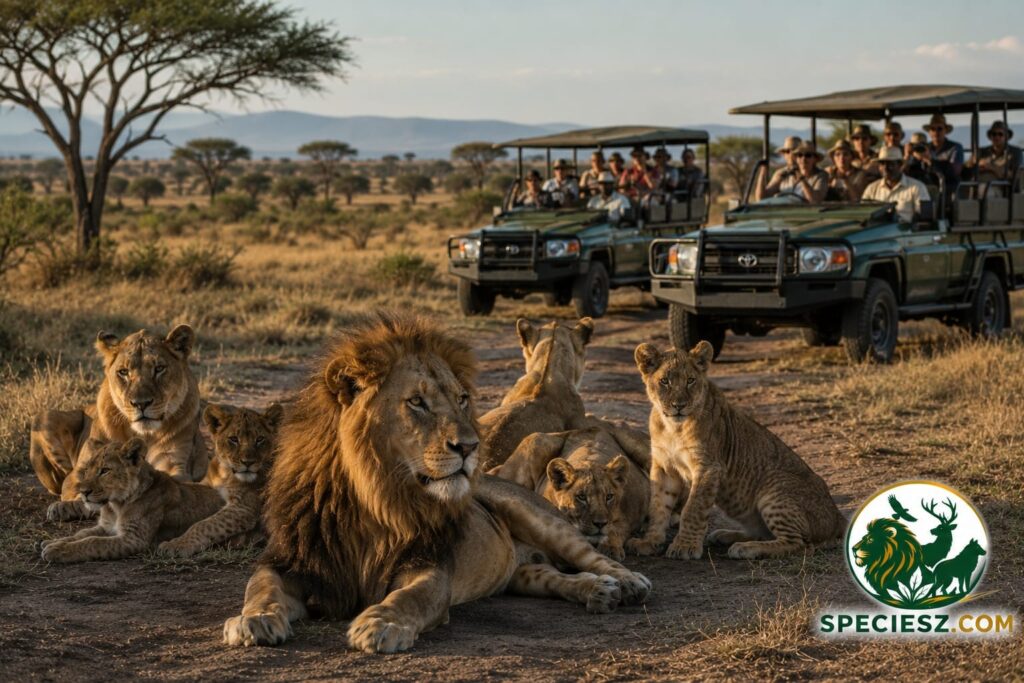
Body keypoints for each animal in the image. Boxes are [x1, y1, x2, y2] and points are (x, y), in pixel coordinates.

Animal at [32, 325, 209, 522]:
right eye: (124, 372)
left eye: (159, 368)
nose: (141, 403)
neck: (143, 434)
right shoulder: (78, 473)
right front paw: (66, 506)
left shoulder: (175, 465)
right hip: (45, 416)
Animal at [39, 437, 225, 563]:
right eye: (87, 470)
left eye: (105, 470)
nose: (83, 492)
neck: (115, 505)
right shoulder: (106, 527)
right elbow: (81, 534)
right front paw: (53, 542)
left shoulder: (134, 539)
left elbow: (92, 542)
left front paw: (57, 550)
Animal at [158, 402, 283, 558]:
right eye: (233, 439)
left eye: (260, 439)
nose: (248, 462)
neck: (226, 473)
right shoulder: (207, 485)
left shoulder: (244, 508)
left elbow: (204, 525)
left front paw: (177, 544)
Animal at [492, 427, 649, 560]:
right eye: (581, 497)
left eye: (609, 497)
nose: (600, 524)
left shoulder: (628, 516)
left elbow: (615, 530)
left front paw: (610, 548)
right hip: (537, 441)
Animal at [627, 341, 845, 560]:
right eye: (664, 381)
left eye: (690, 380)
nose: (679, 406)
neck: (673, 428)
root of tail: (838, 517)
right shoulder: (664, 466)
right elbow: (658, 506)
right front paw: (649, 542)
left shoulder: (708, 467)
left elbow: (693, 508)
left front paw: (685, 546)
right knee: (764, 533)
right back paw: (724, 536)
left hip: (775, 484)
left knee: (800, 544)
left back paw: (745, 548)